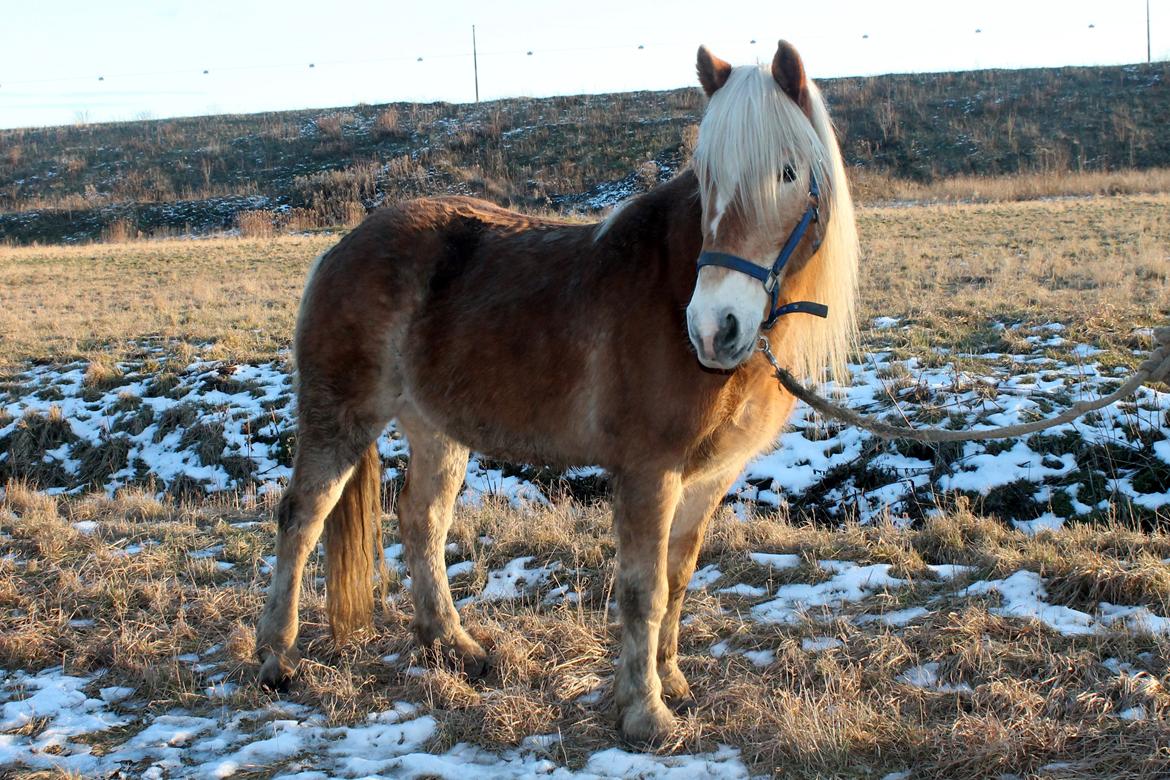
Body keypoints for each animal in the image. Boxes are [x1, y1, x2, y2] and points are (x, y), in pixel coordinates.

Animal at [256, 38, 861, 743]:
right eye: (707, 175)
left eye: (790, 173)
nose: (716, 328)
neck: (667, 290)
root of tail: (340, 249)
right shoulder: (648, 472)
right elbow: (644, 590)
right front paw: (645, 712)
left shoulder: (709, 477)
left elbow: (679, 577)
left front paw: (673, 682)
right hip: (341, 417)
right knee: (302, 516)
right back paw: (276, 658)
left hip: (437, 428)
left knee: (421, 520)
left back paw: (454, 646)